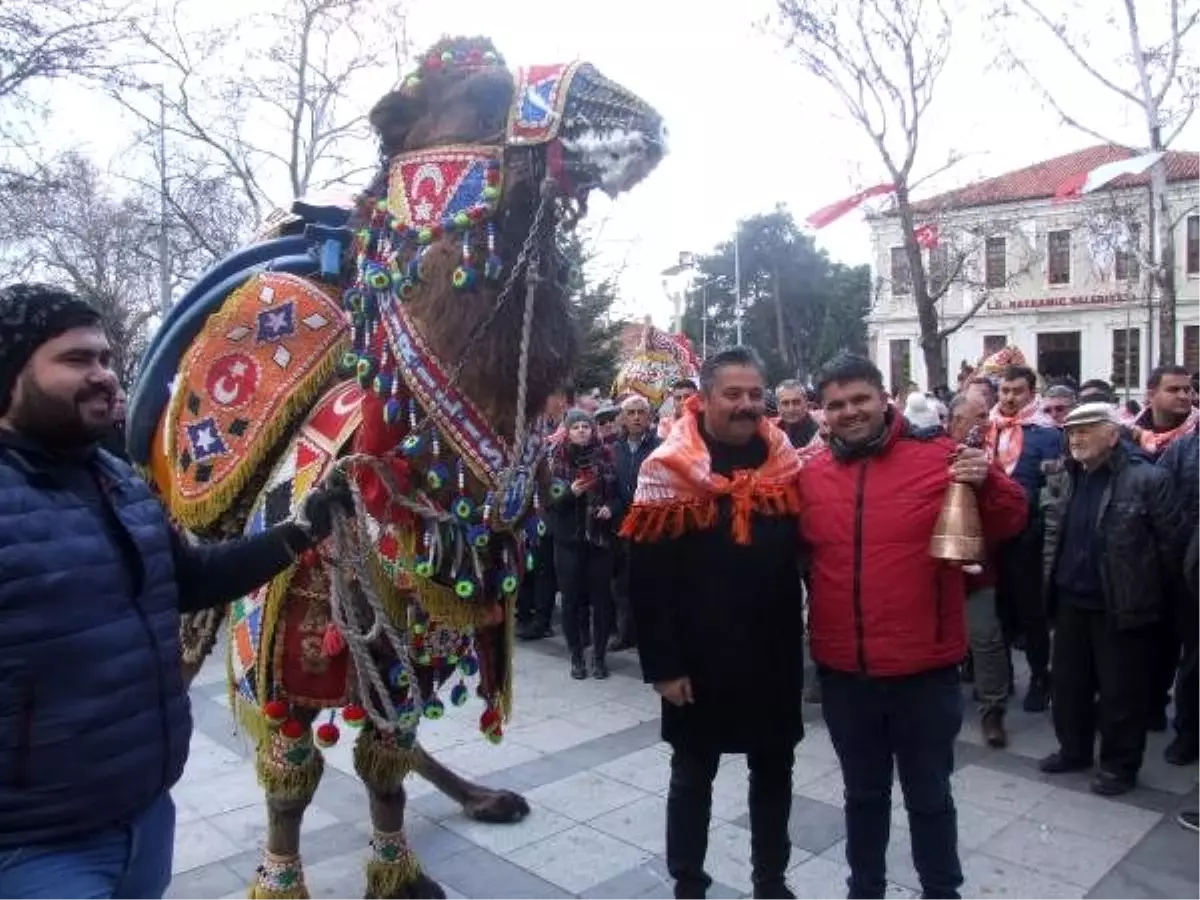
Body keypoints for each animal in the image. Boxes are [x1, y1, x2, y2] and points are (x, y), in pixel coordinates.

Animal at [129, 37, 667, 900]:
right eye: (483, 95)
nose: (625, 107)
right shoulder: (276, 645)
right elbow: (291, 774)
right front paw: (281, 881)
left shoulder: (419, 636)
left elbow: (385, 757)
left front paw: (400, 871)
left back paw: (484, 796)